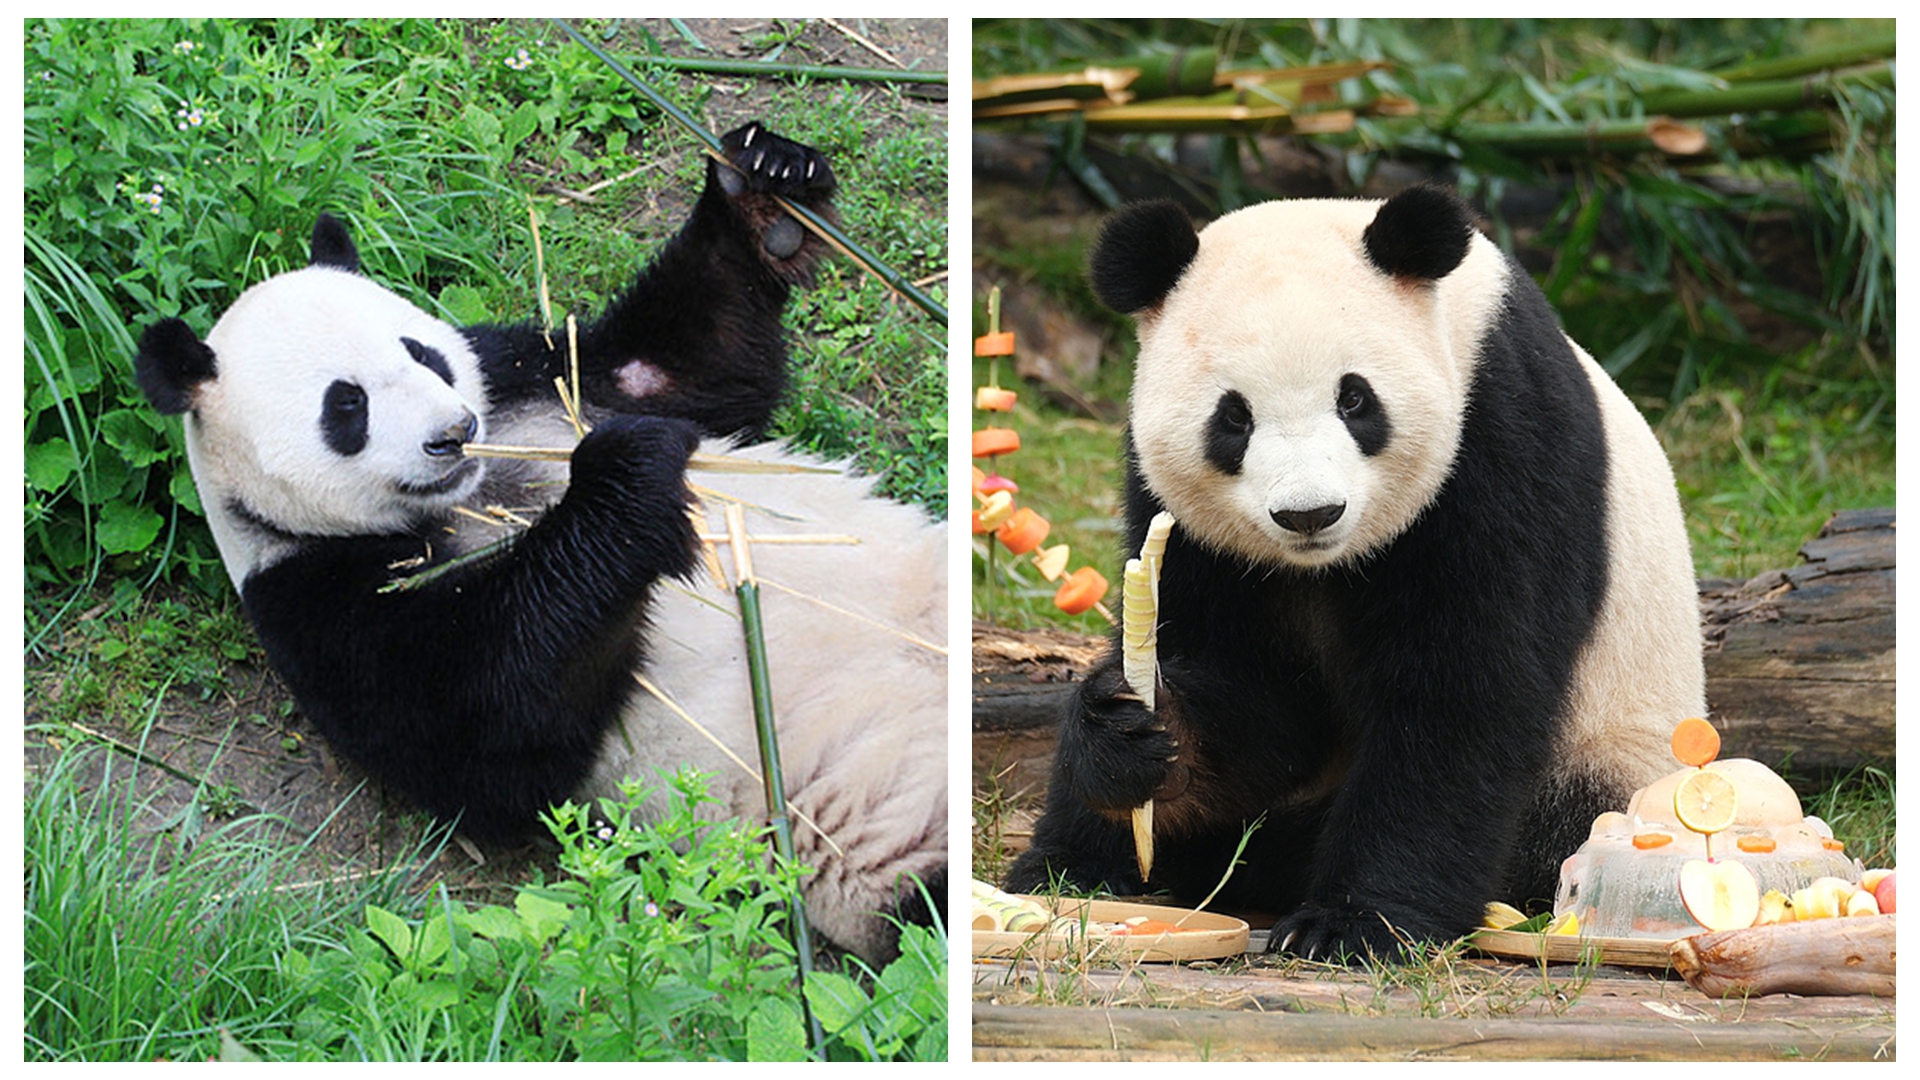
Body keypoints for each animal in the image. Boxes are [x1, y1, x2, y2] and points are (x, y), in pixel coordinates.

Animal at [133, 122, 946, 966]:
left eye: (421, 354)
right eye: (346, 406)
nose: (454, 432)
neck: (476, 490)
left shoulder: (531, 380)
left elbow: (689, 366)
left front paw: (763, 181)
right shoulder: (311, 594)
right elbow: (491, 722)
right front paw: (628, 475)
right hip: (883, 833)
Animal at [1005, 185, 1705, 960]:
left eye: (1355, 399)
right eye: (1233, 418)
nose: (1309, 513)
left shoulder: (1505, 438)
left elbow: (1464, 687)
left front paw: (1356, 924)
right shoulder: (1184, 521)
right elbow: (1252, 687)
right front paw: (1135, 731)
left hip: (1613, 752)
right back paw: (1071, 867)